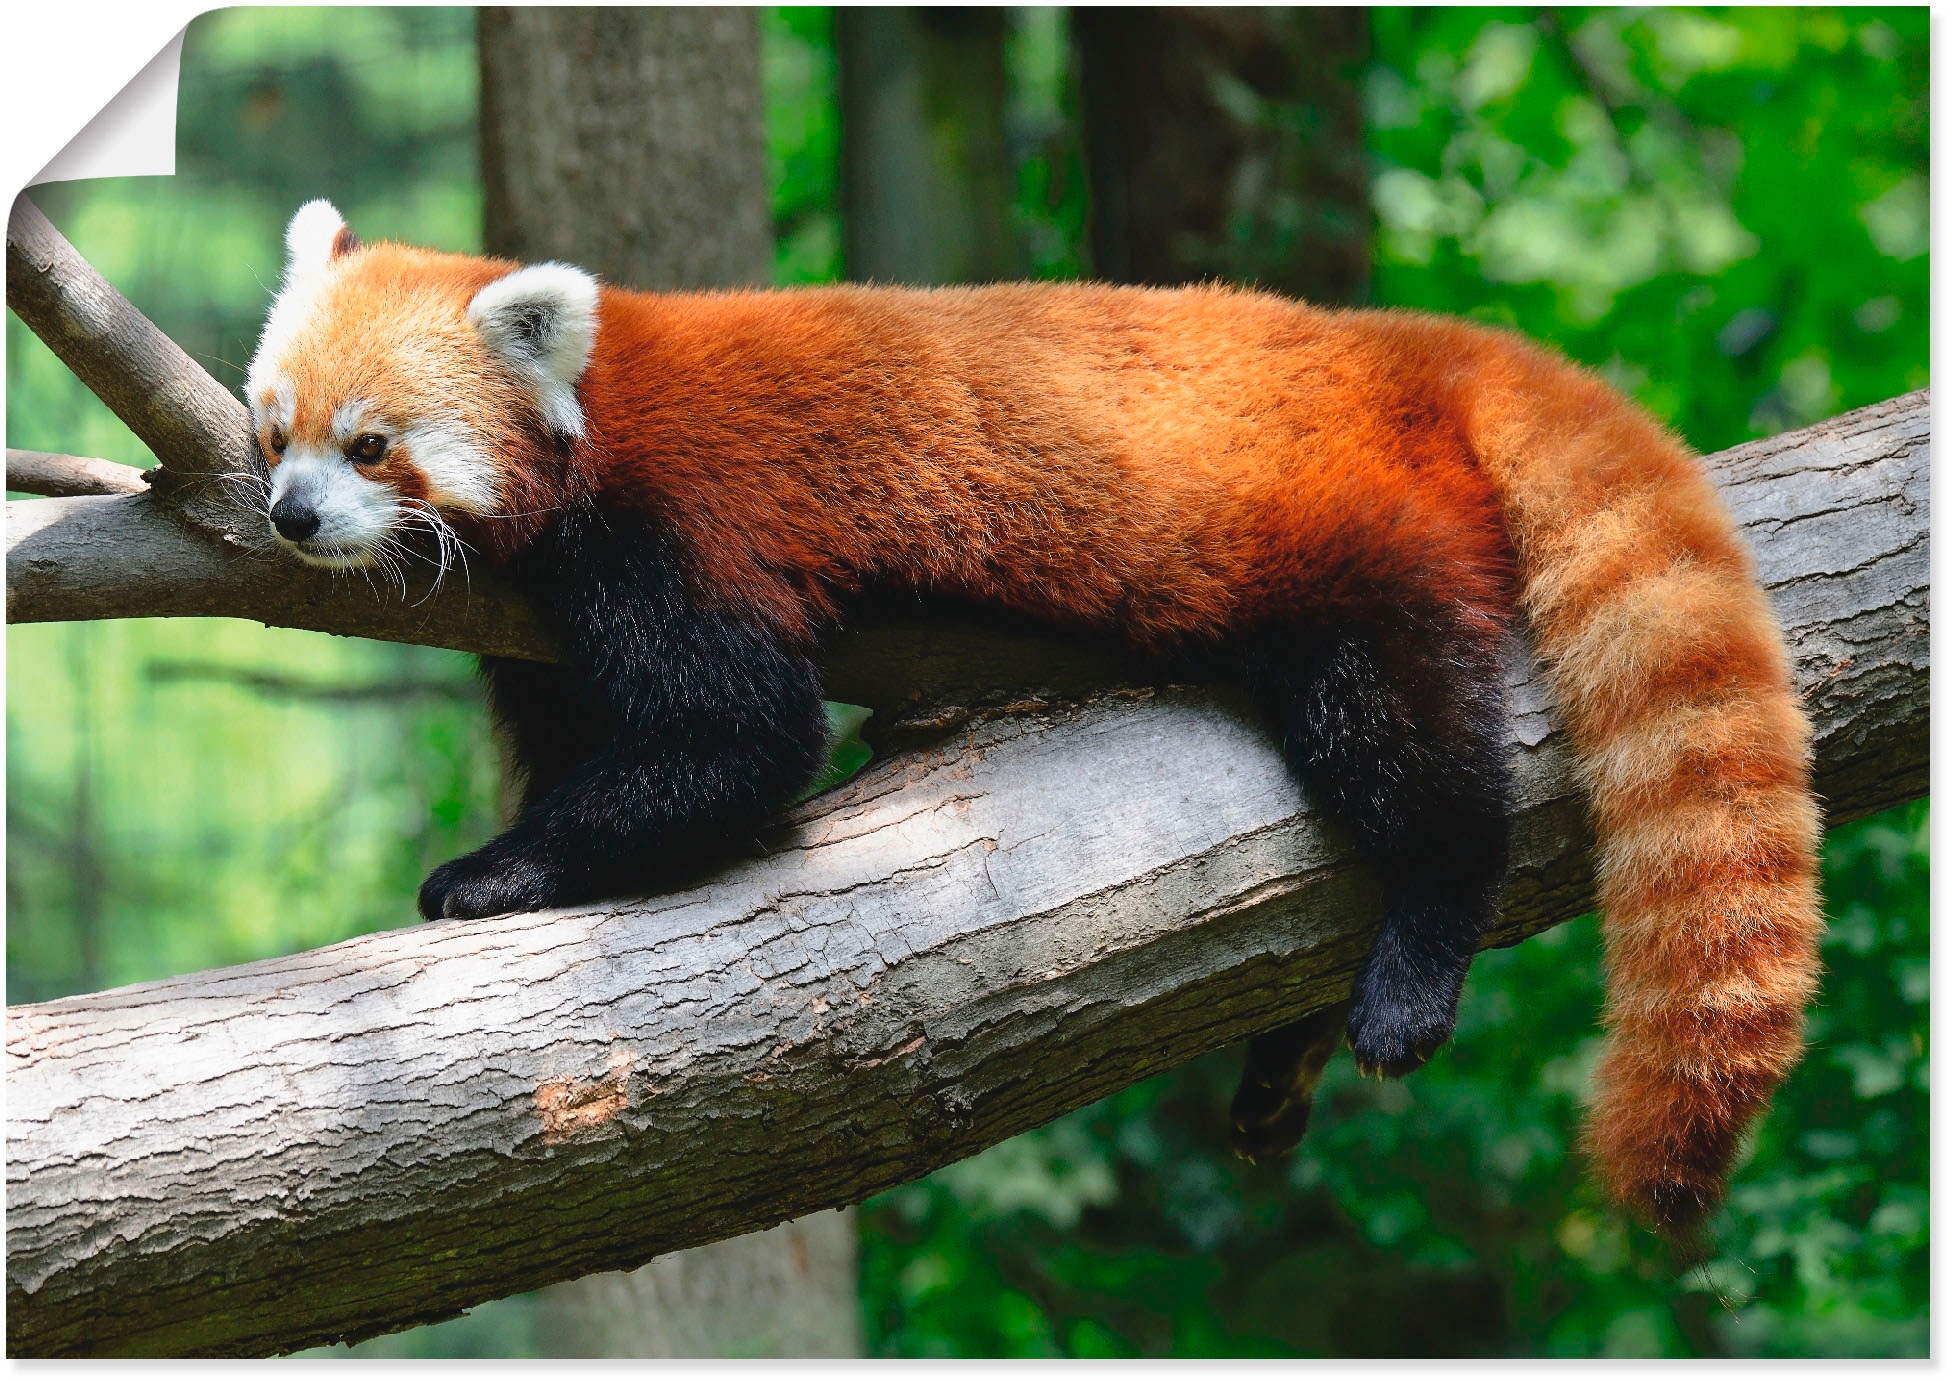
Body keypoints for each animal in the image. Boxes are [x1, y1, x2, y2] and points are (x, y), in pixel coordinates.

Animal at [247, 194, 1827, 1233]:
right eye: (274, 430)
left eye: (370, 444)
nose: (287, 516)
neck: (596, 400)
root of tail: (1396, 345)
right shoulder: (532, 622)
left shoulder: (677, 530)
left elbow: (741, 737)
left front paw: (493, 870)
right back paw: (1286, 1056)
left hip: (1349, 540)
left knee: (1411, 750)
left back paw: (1414, 957)